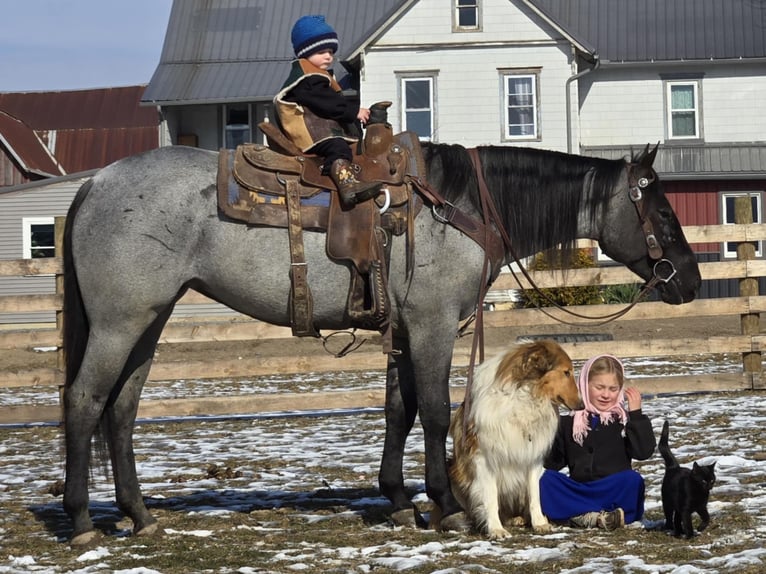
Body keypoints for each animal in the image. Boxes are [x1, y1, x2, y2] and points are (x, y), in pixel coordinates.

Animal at [444, 342, 584, 540]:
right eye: (566, 372)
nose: (582, 405)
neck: (524, 396)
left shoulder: (532, 456)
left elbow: (534, 494)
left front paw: (539, 523)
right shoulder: (483, 458)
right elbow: (491, 498)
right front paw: (495, 529)